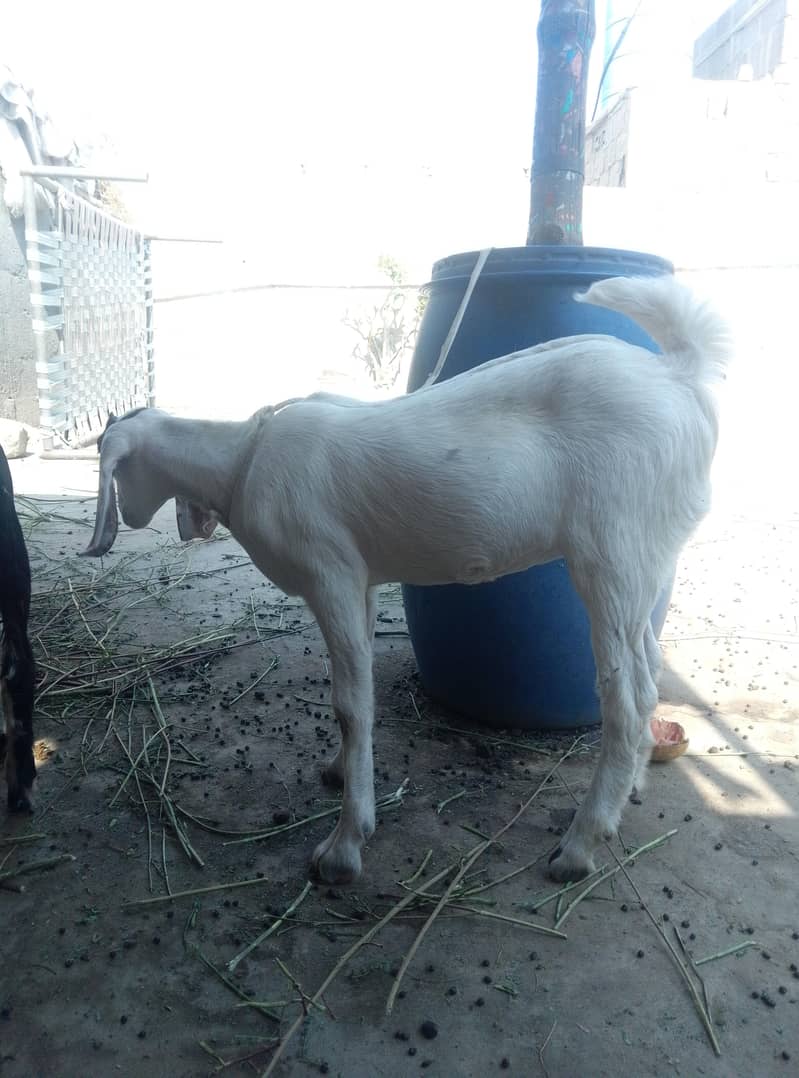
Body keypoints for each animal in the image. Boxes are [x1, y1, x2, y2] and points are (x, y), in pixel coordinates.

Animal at [81, 275, 730, 884]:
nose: (131, 517)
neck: (245, 457)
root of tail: (677, 373)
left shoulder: (332, 576)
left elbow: (350, 704)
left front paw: (345, 845)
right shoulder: (364, 582)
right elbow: (359, 691)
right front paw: (342, 770)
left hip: (611, 553)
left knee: (627, 697)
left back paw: (579, 845)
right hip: (646, 562)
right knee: (649, 671)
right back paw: (629, 790)